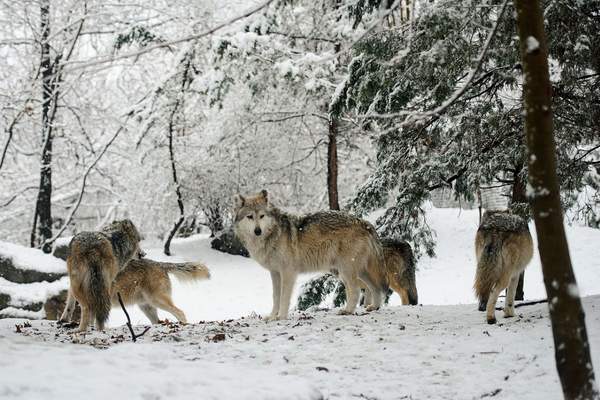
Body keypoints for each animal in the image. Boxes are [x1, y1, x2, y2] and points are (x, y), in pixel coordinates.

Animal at [232, 189, 386, 320]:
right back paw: (373, 307)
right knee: (374, 287)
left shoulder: (288, 272)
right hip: (353, 271)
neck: (273, 234)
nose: (257, 231)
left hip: (346, 271)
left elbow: (284, 297)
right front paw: (272, 317)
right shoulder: (275, 272)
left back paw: (347, 311)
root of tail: (364, 222)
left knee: (356, 290)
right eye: (250, 217)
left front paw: (281, 317)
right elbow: (275, 296)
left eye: (262, 216)